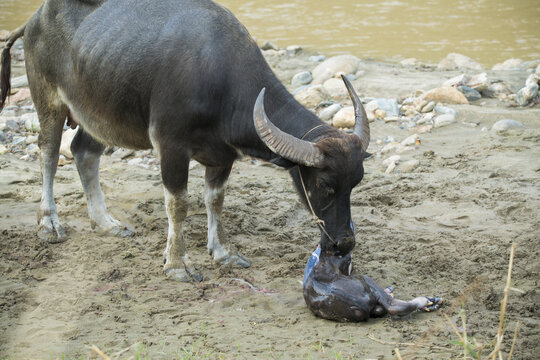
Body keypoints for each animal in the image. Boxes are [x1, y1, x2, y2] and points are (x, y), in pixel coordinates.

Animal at [0, 0, 370, 282]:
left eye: (356, 183)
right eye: (324, 184)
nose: (343, 244)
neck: (220, 79)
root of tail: (34, 20)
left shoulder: (222, 157)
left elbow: (215, 201)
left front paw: (222, 252)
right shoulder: (171, 148)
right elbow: (177, 205)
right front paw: (178, 265)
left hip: (98, 113)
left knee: (83, 152)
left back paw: (105, 223)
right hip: (48, 99)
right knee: (49, 153)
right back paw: (49, 223)